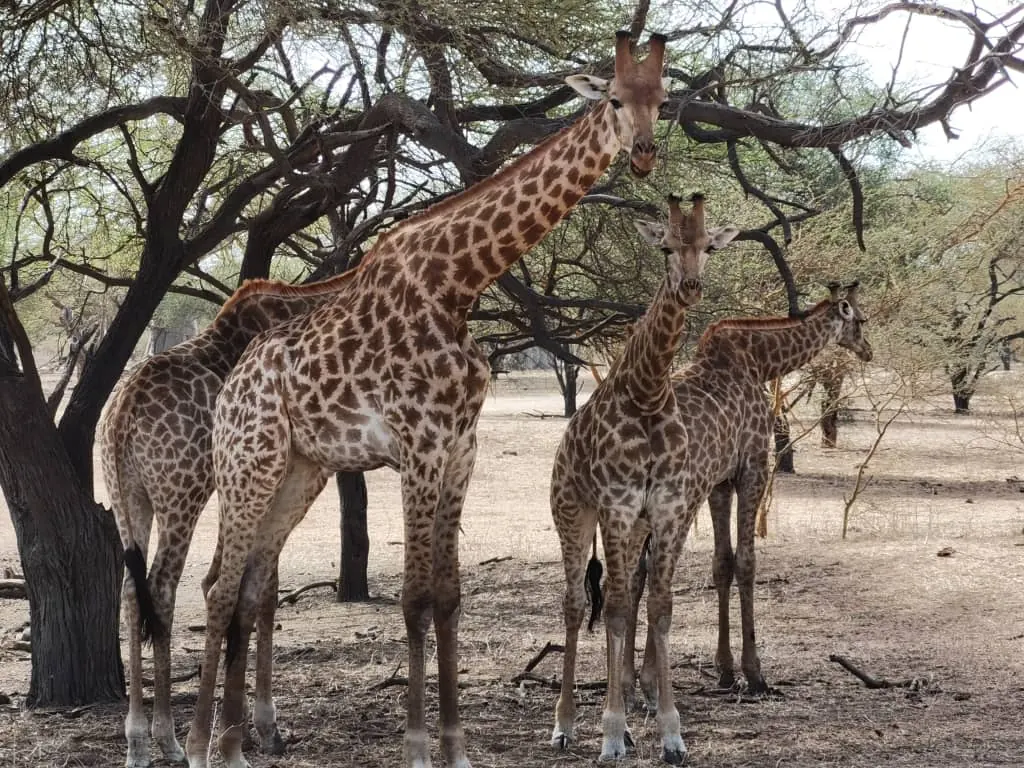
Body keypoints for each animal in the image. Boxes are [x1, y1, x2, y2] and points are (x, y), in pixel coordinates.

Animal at [99, 271, 356, 768]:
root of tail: (120, 416)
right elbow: (264, 591)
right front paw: (266, 728)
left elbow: (235, 586)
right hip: (182, 493)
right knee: (161, 586)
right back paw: (167, 738)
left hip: (127, 497)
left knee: (131, 590)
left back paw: (138, 740)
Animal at [185, 30, 672, 768]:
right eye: (615, 98)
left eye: (662, 99)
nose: (643, 154)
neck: (459, 282)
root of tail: (231, 387)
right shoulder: (417, 446)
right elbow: (413, 599)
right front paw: (417, 745)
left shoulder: (459, 449)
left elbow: (447, 598)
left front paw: (455, 747)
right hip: (249, 463)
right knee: (218, 587)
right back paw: (197, 746)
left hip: (299, 470)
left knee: (244, 584)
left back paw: (237, 744)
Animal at [550, 193, 740, 764]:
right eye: (665, 247)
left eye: (708, 247)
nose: (691, 286)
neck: (650, 391)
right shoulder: (615, 503)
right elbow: (612, 610)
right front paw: (611, 734)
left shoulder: (667, 509)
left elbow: (658, 607)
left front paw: (671, 734)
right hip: (572, 512)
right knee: (576, 603)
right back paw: (565, 724)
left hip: (633, 528)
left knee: (622, 593)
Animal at [619, 281, 872, 710]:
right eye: (862, 318)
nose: (868, 350)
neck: (760, 362)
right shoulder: (752, 467)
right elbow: (747, 563)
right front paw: (754, 673)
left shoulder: (720, 481)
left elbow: (722, 563)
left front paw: (724, 670)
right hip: (676, 498)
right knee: (655, 573)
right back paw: (650, 686)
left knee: (633, 573)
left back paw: (626, 686)